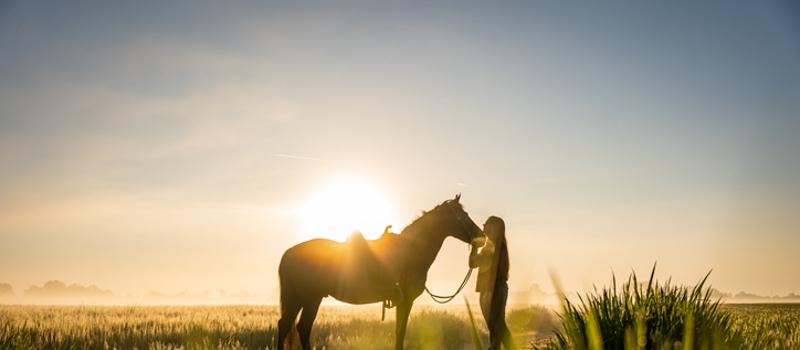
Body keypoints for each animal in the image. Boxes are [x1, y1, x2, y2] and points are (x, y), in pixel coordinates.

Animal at [278, 194, 484, 350]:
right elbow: (400, 331)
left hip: (302, 298)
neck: (410, 251)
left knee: (293, 325)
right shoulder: (406, 301)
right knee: (298, 326)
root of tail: (288, 253)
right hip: (310, 298)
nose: (481, 236)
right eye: (462, 215)